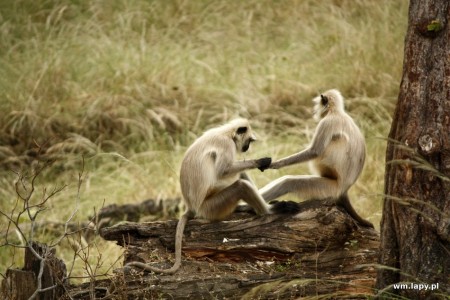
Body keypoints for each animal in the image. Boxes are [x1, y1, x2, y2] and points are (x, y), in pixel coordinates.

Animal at [125, 118, 296, 274]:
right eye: (249, 140)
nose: (247, 147)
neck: (226, 133)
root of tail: (192, 207)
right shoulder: (226, 145)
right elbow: (224, 170)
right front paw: (260, 162)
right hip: (211, 207)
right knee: (240, 184)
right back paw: (269, 211)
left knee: (240, 175)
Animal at [258, 89, 374, 227]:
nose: (314, 111)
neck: (336, 112)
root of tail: (344, 189)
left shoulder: (327, 123)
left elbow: (314, 152)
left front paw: (275, 164)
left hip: (329, 188)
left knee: (288, 182)